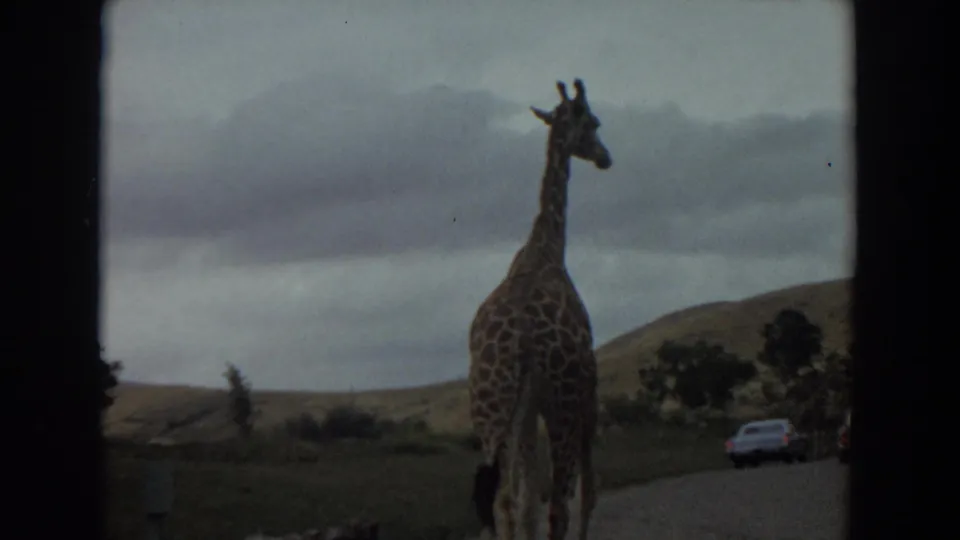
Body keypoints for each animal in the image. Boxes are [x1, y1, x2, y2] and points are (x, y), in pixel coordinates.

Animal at [468, 78, 611, 540]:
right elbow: (585, 493)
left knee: (503, 501)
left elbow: (525, 499)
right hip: (561, 405)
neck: (547, 249)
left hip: (490, 409)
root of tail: (522, 341)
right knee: (559, 504)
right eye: (594, 122)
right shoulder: (587, 393)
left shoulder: (525, 410)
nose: (605, 157)